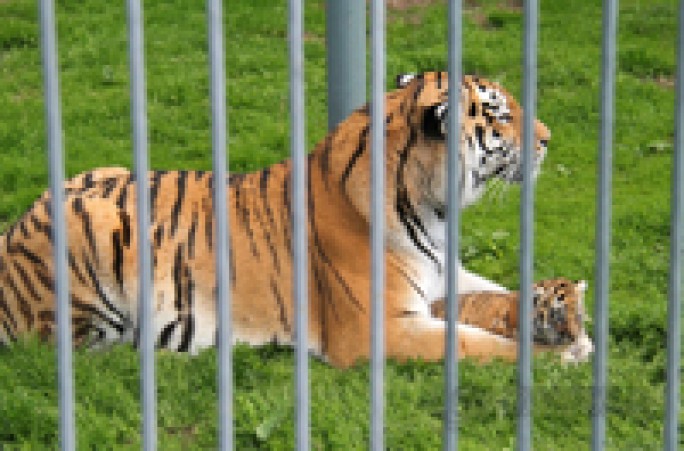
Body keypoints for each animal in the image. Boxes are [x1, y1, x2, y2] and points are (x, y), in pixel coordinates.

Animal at [0, 70, 556, 368]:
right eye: (501, 114)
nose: (549, 138)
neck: (432, 208)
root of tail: (12, 231)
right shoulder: (382, 329)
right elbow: (475, 342)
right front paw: (559, 357)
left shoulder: (445, 274)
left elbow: (501, 291)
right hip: (91, 228)